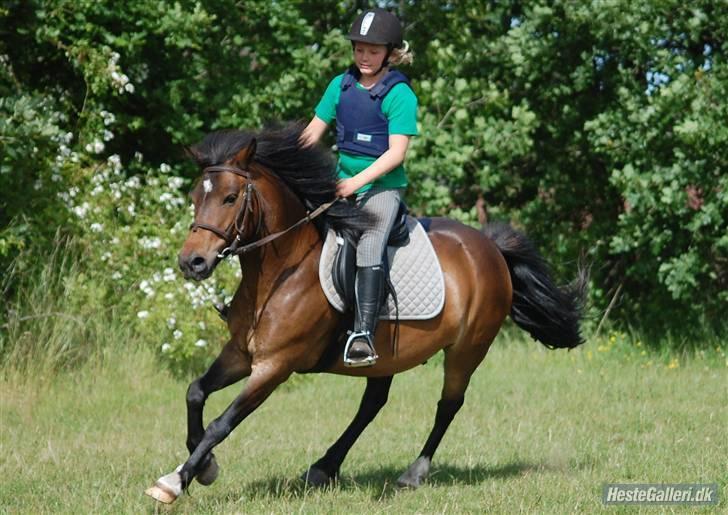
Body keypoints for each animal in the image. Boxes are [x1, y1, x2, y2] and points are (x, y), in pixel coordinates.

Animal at [144, 124, 584, 504]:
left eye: (230, 198)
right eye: (194, 197)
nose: (192, 263)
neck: (281, 270)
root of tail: (489, 248)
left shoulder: (275, 365)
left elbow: (223, 422)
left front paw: (175, 481)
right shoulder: (241, 353)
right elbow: (195, 392)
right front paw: (203, 466)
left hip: (467, 349)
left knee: (448, 405)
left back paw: (413, 473)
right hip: (389, 353)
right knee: (372, 404)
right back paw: (324, 467)